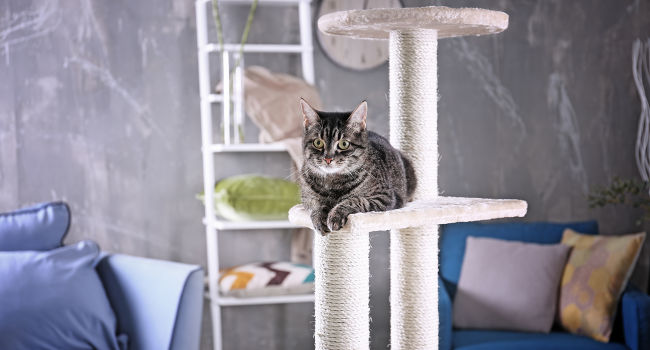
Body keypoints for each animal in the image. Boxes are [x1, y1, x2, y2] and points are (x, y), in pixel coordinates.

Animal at [298, 98, 416, 234]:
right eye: (318, 142)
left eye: (344, 144)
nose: (328, 159)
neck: (332, 182)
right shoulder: (306, 197)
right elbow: (315, 203)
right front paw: (319, 217)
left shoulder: (384, 197)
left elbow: (354, 200)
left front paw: (335, 215)